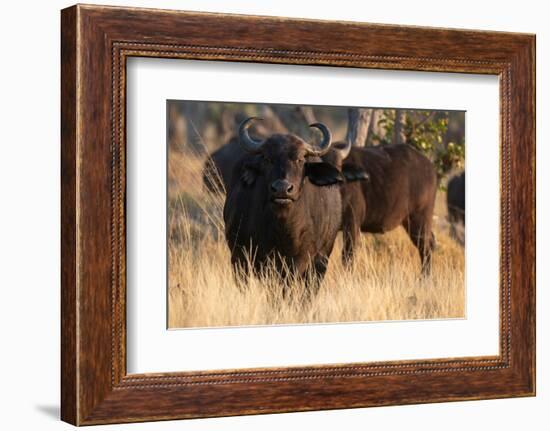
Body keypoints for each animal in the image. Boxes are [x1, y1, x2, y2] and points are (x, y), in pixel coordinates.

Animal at [224, 117, 350, 296]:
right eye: (267, 159)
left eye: (300, 159)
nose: (282, 189)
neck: (283, 229)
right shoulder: (249, 258)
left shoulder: (303, 260)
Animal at [324, 143, 440, 276]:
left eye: (338, 167)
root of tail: (430, 168)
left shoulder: (352, 223)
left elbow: (348, 255)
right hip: (410, 221)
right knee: (430, 242)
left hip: (420, 219)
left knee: (425, 248)